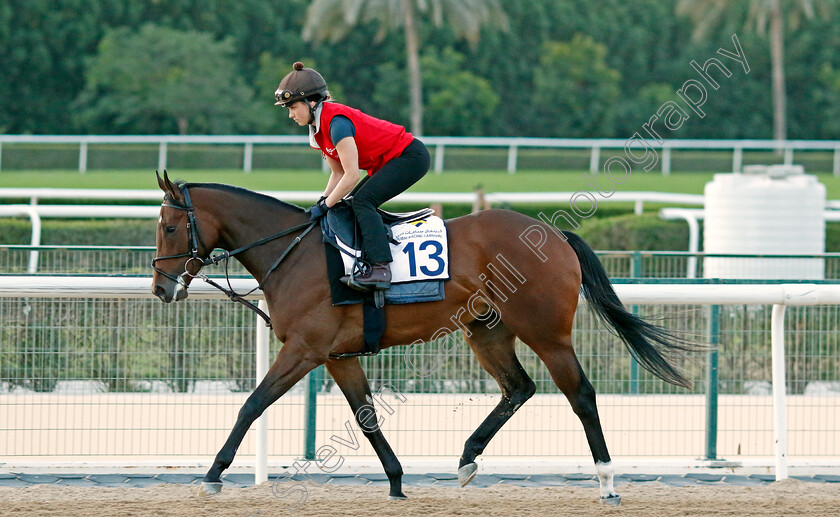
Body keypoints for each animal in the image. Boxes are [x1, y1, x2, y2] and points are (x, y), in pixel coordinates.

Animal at [153, 169, 696, 504]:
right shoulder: (337, 356)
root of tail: (556, 235)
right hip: (487, 331)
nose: (160, 288)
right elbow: (367, 417)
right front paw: (396, 482)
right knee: (518, 387)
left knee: (580, 394)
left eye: (171, 227)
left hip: (547, 332)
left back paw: (606, 482)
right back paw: (467, 459)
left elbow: (251, 404)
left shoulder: (305, 349)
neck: (294, 252)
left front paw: (213, 475)